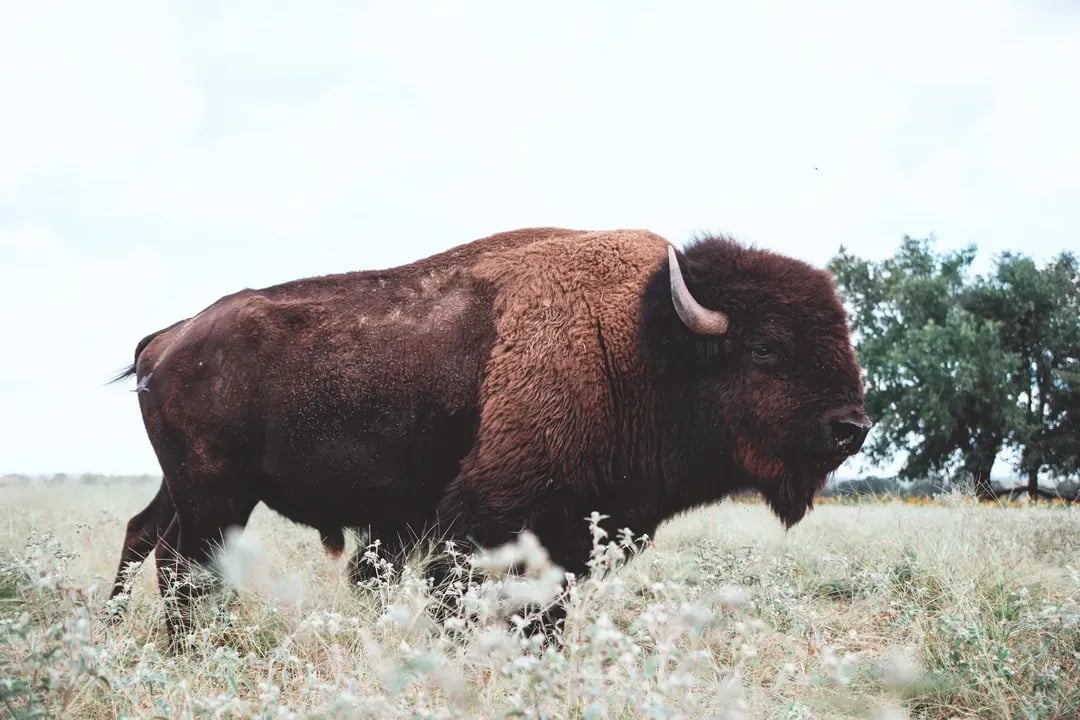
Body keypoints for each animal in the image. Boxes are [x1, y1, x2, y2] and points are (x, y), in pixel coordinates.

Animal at [108, 227, 869, 634]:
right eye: (764, 347)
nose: (851, 428)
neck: (638, 343)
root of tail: (171, 337)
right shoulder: (492, 518)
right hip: (216, 494)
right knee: (183, 563)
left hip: (188, 488)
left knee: (147, 537)